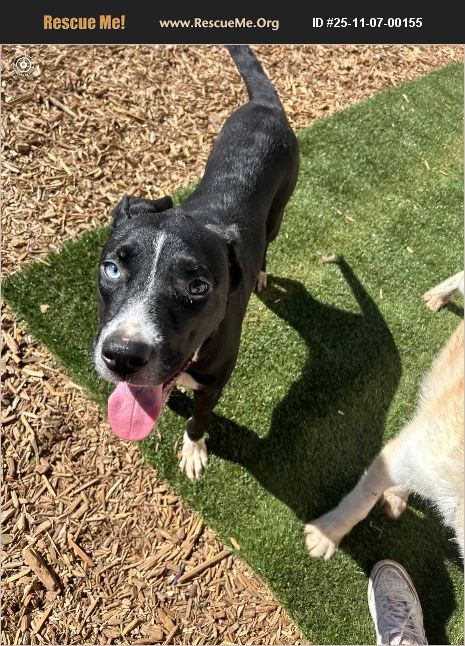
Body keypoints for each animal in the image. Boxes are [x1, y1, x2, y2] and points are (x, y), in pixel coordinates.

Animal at [93, 46, 299, 479]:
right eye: (112, 268)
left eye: (198, 286)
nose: (122, 356)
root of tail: (264, 104)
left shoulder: (214, 385)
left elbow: (198, 419)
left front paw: (192, 449)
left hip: (278, 211)